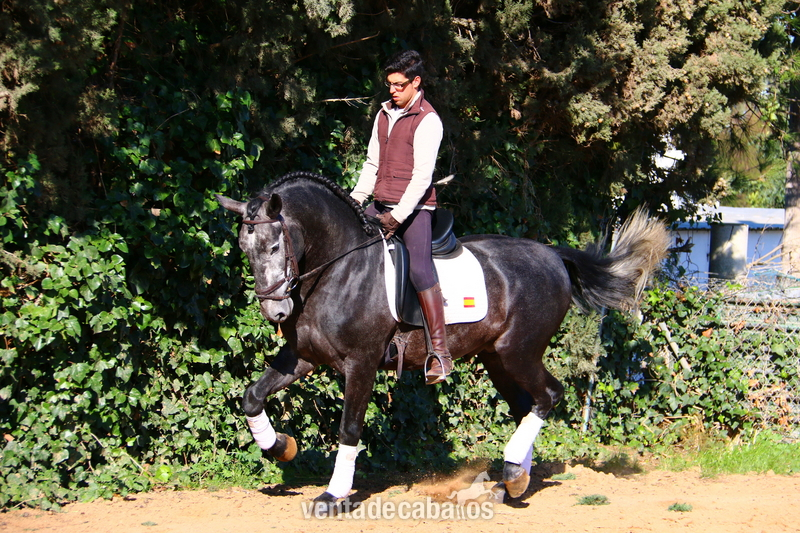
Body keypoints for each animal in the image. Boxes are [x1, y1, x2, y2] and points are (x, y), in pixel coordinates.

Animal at [216, 171, 669, 509]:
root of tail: (553, 255)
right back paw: (513, 480)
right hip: (497, 360)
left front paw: (333, 495)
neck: (338, 268)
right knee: (526, 406)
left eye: (275, 244)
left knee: (549, 396)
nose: (276, 312)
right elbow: (252, 397)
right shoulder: (302, 356)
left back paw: (512, 473)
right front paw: (282, 448)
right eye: (244, 247)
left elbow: (349, 427)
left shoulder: (361, 363)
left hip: (519, 352)